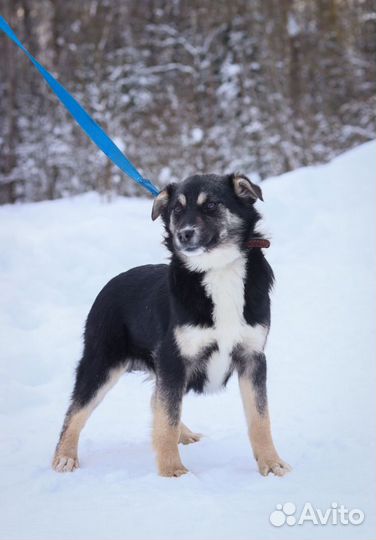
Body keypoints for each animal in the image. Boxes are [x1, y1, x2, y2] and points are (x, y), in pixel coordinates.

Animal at [51, 173, 290, 476]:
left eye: (211, 205)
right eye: (177, 209)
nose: (183, 234)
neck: (216, 270)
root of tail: (111, 283)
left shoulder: (252, 357)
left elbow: (260, 418)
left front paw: (271, 463)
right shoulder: (174, 358)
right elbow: (167, 420)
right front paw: (171, 471)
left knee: (157, 400)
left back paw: (184, 434)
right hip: (102, 362)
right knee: (76, 410)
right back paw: (65, 456)